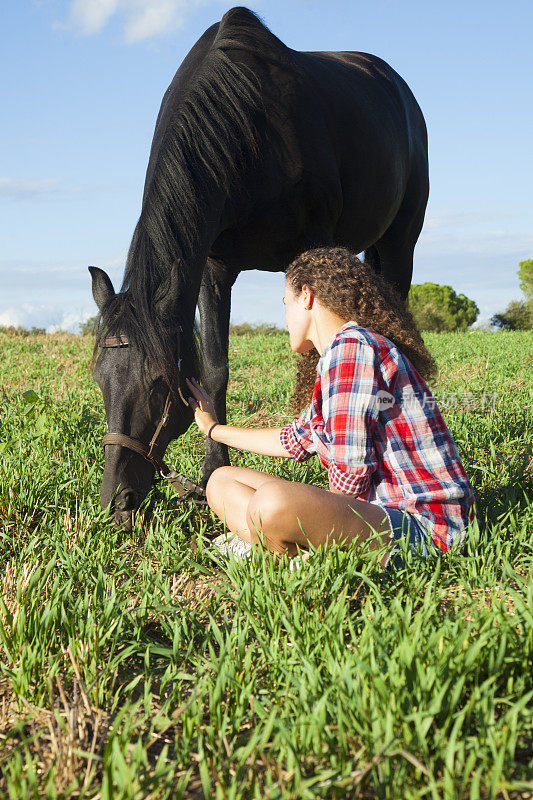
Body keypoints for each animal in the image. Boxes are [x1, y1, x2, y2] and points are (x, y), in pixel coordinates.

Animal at [90, 7, 428, 532]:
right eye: (99, 379)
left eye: (157, 385)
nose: (116, 503)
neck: (248, 136)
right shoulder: (213, 269)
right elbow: (215, 371)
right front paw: (212, 470)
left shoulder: (313, 249)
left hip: (400, 241)